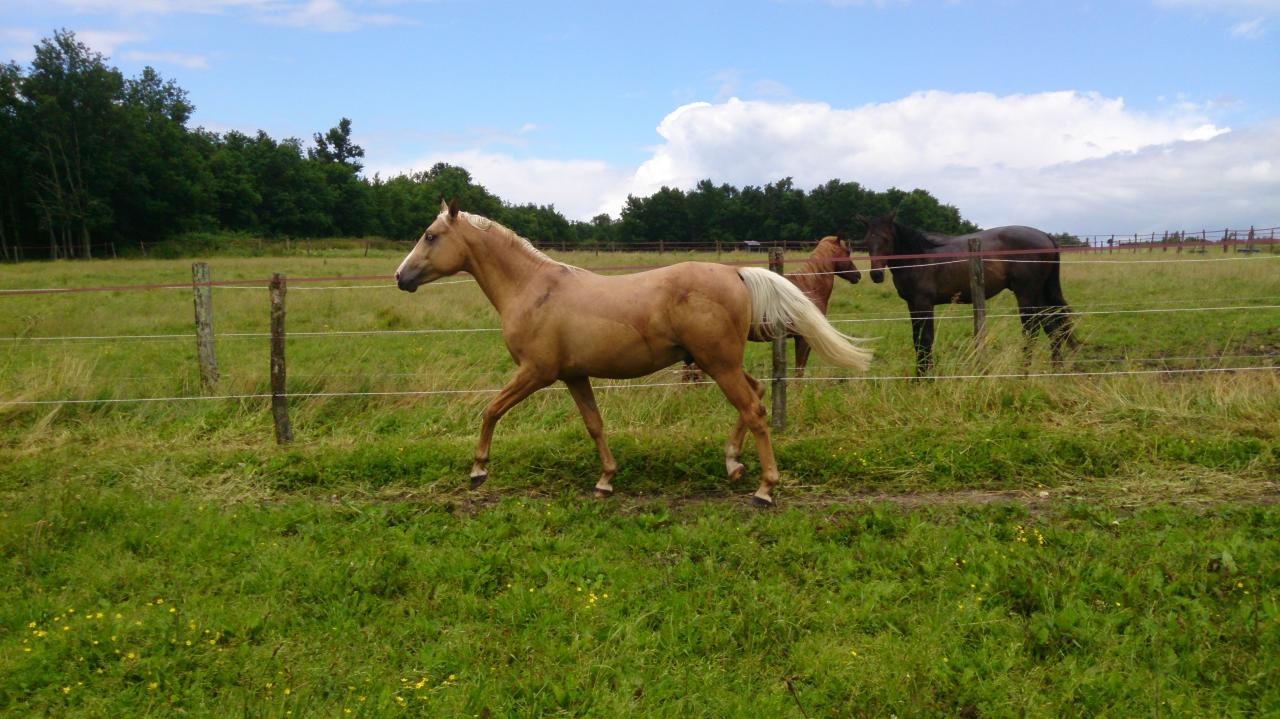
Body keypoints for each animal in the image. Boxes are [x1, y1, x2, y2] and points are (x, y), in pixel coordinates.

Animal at [855, 211, 1075, 376]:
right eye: (866, 242)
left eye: (886, 239)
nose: (876, 275)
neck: (919, 258)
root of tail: (1045, 236)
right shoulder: (912, 305)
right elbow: (917, 340)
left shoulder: (924, 303)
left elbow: (925, 339)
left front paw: (925, 378)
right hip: (1041, 294)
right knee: (1054, 327)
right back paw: (1056, 370)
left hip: (1027, 295)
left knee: (1033, 330)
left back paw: (1024, 372)